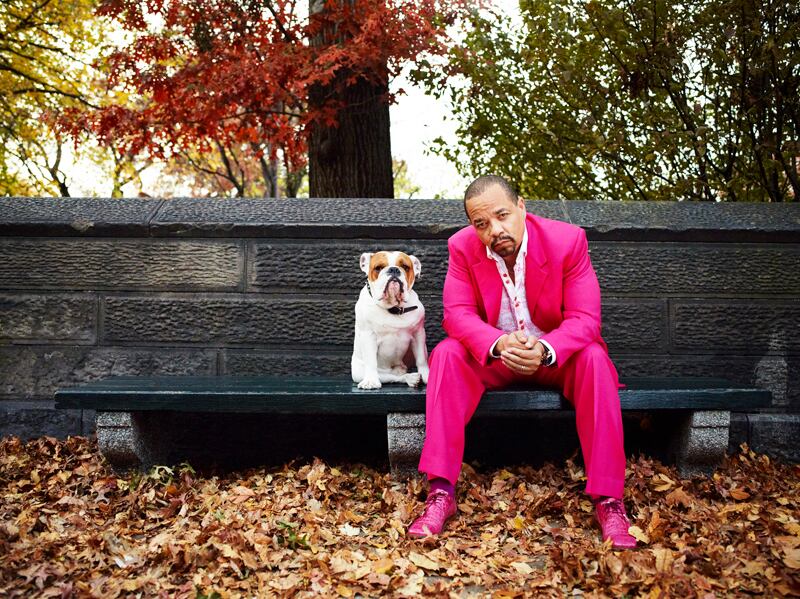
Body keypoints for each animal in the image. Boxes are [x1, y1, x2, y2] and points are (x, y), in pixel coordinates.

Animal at [351, 251, 429, 389]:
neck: (393, 307)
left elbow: (421, 358)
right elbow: (371, 360)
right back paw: (409, 378)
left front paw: (427, 375)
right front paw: (371, 381)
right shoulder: (368, 335)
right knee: (391, 378)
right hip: (360, 372)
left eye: (405, 267)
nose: (394, 269)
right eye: (378, 268)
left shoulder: (418, 334)